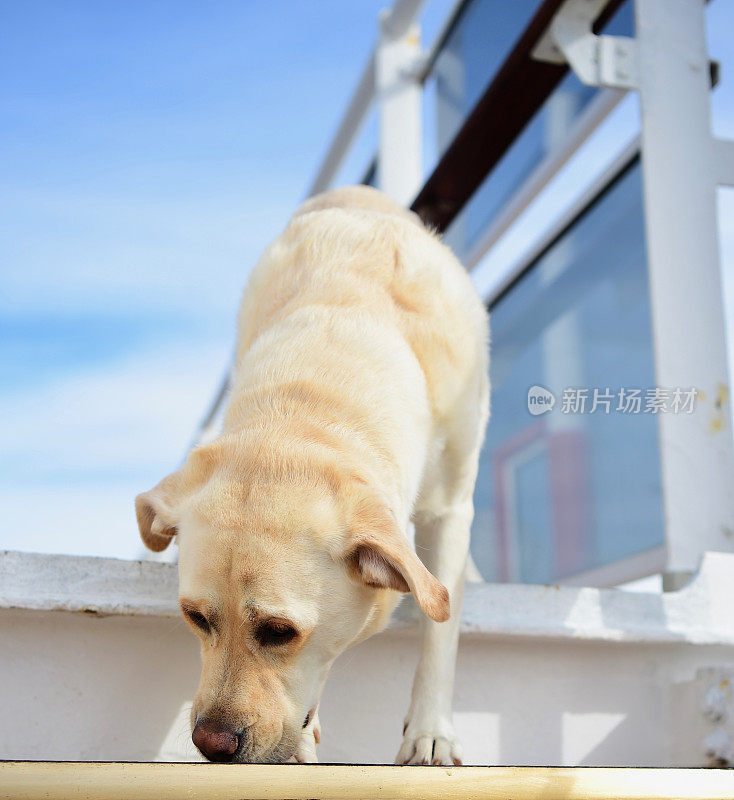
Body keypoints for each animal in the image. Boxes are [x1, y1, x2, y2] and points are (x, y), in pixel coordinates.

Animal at [135, 184, 492, 764]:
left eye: (279, 631)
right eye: (195, 617)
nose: (211, 744)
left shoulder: (450, 505)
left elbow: (442, 628)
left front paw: (431, 732)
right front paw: (303, 738)